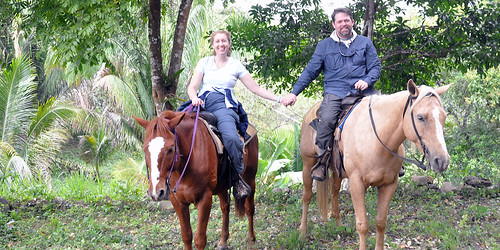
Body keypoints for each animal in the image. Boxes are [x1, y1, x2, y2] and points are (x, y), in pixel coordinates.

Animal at [133, 110, 258, 249]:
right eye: (145, 149)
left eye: (171, 149)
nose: (156, 192)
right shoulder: (178, 201)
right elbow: (186, 235)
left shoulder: (204, 199)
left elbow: (200, 239)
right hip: (222, 186)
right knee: (225, 207)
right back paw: (223, 241)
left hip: (250, 177)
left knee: (249, 208)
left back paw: (251, 239)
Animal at [298, 80, 452, 250]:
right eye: (420, 117)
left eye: (444, 117)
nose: (442, 161)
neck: (377, 140)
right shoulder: (357, 184)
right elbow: (362, 225)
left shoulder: (389, 185)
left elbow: (380, 222)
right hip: (307, 165)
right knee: (307, 196)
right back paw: (302, 232)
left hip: (338, 171)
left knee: (334, 191)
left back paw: (338, 226)